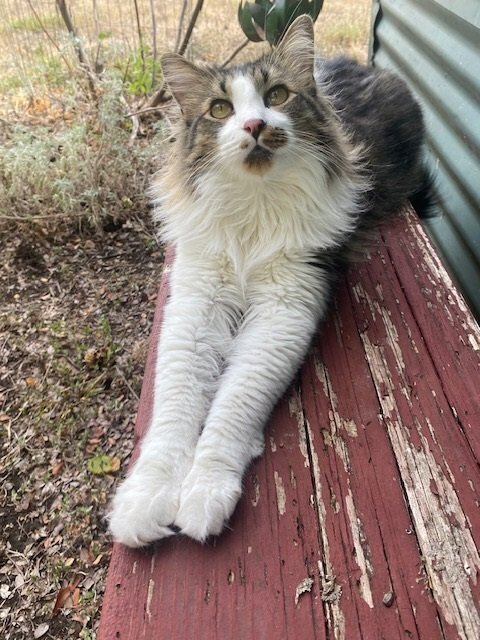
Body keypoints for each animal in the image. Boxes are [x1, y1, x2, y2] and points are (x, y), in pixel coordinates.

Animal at [109, 15, 438, 544]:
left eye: (278, 96)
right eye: (220, 109)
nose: (254, 125)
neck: (254, 204)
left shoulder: (285, 308)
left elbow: (233, 404)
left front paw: (204, 491)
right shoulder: (196, 304)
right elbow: (175, 408)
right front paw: (146, 498)